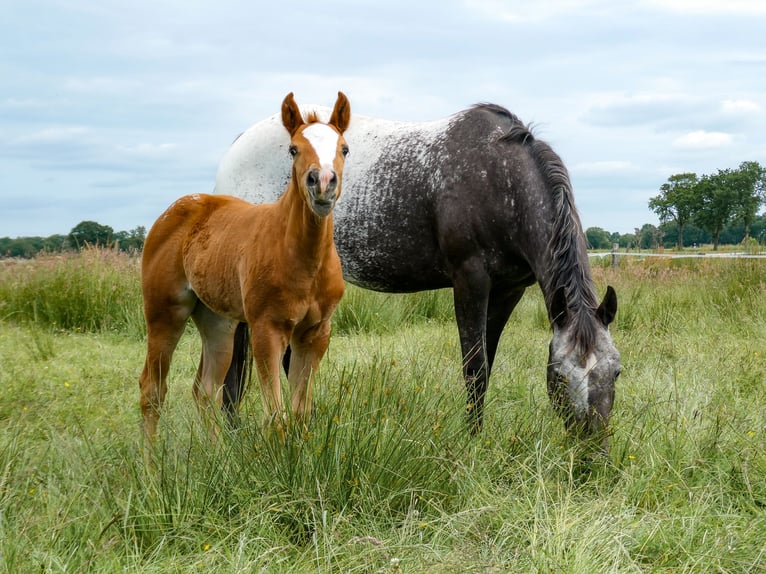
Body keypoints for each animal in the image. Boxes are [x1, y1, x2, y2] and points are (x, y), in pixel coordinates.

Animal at [138, 91, 351, 441]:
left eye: (344, 148)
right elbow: (275, 416)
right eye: (293, 149)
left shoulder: (316, 332)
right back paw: (151, 459)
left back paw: (217, 453)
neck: (304, 260)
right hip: (165, 313)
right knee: (152, 390)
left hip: (218, 322)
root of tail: (178, 207)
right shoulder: (267, 328)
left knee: (205, 389)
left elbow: (300, 413)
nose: (322, 183)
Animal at [215, 101, 621, 443]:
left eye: (616, 371)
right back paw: (234, 434)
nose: (591, 452)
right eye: (559, 375)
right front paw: (472, 442)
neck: (501, 180)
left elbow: (487, 363)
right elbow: (475, 368)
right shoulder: (470, 280)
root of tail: (236, 148)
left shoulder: (509, 290)